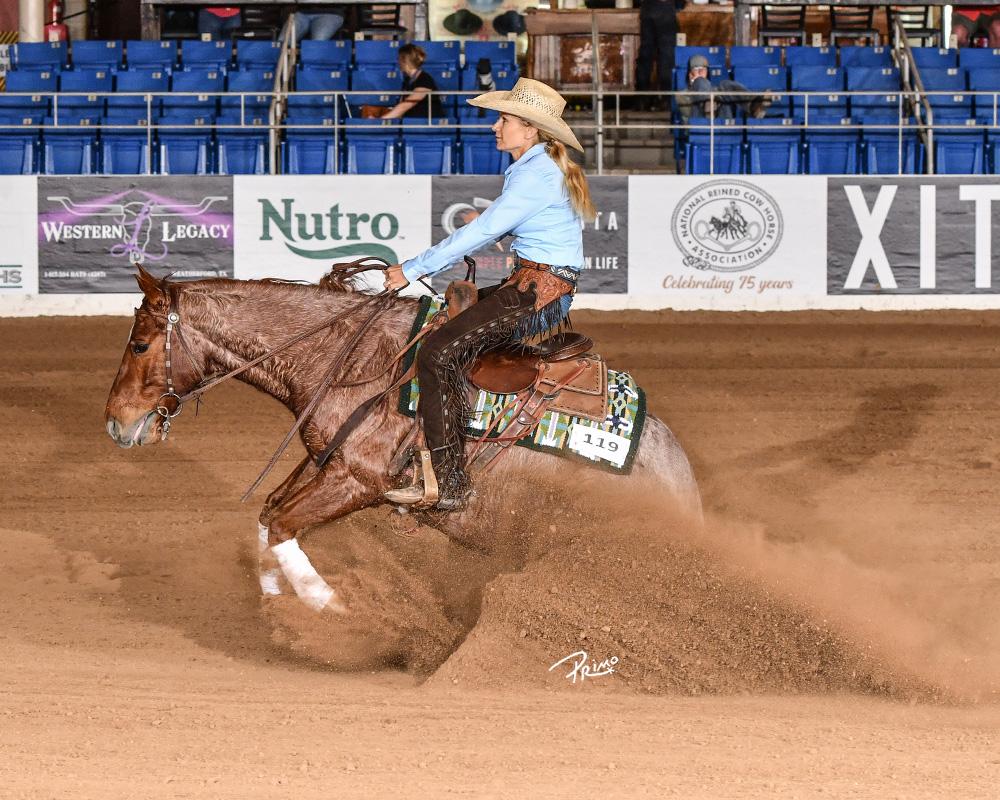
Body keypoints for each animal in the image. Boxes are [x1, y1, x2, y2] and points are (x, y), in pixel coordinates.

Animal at [105, 266, 702, 616]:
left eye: (140, 345)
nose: (116, 423)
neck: (348, 358)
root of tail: (679, 477)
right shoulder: (325, 462)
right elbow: (269, 516)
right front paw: (277, 602)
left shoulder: (358, 480)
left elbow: (282, 526)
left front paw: (329, 611)